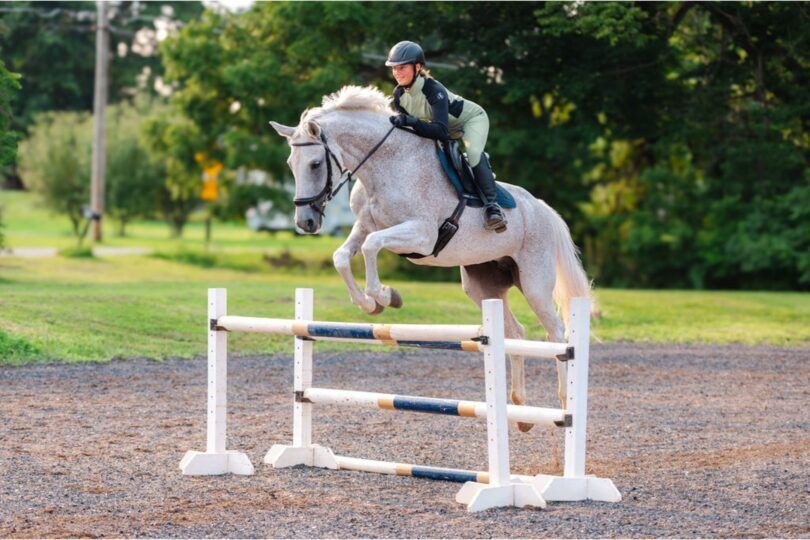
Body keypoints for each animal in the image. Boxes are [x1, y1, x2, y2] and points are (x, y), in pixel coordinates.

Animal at [268, 84, 592, 430]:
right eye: (290, 163)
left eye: (315, 164)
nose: (305, 222)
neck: (384, 166)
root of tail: (542, 207)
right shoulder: (364, 225)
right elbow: (342, 256)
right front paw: (369, 304)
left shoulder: (421, 236)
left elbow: (370, 247)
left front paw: (385, 295)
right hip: (483, 285)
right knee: (514, 333)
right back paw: (520, 410)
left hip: (534, 283)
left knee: (557, 334)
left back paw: (563, 404)